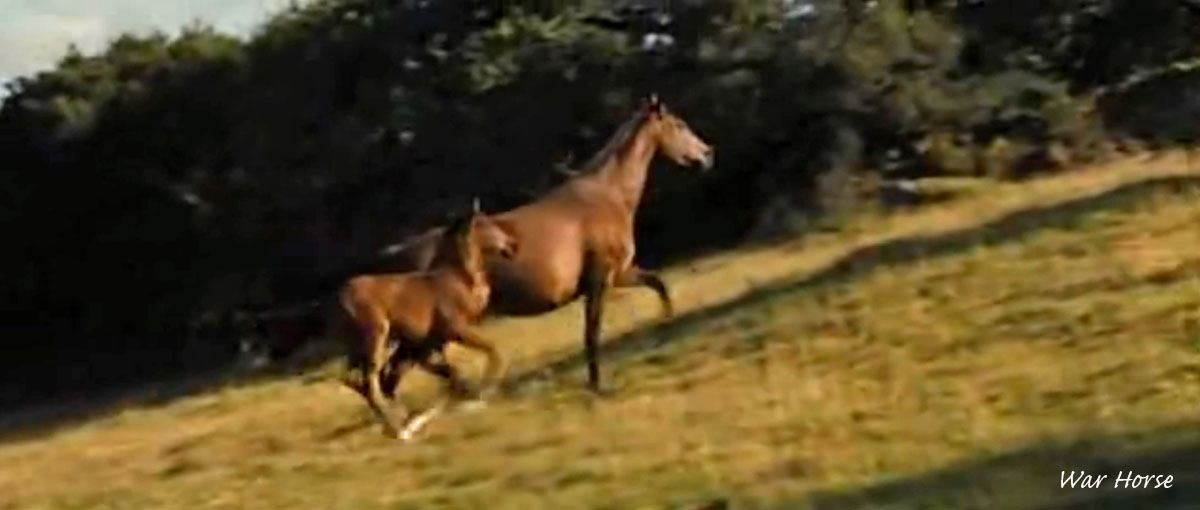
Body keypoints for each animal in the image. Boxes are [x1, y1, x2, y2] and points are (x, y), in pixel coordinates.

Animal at [338, 201, 518, 440]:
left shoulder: (424, 347)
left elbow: (449, 375)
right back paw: (399, 430)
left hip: (363, 348)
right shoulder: (455, 331)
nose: (513, 245)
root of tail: (341, 299)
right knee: (369, 381)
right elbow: (490, 351)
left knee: (357, 380)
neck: (457, 280)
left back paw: (399, 423)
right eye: (485, 223)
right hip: (376, 337)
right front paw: (482, 394)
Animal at [371, 94, 714, 393]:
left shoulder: (620, 273)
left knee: (398, 372)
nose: (707, 154)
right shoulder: (599, 280)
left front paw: (667, 325)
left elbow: (658, 284)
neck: (608, 195)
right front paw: (597, 385)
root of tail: (395, 257)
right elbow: (592, 333)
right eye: (679, 124)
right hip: (434, 332)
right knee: (401, 370)